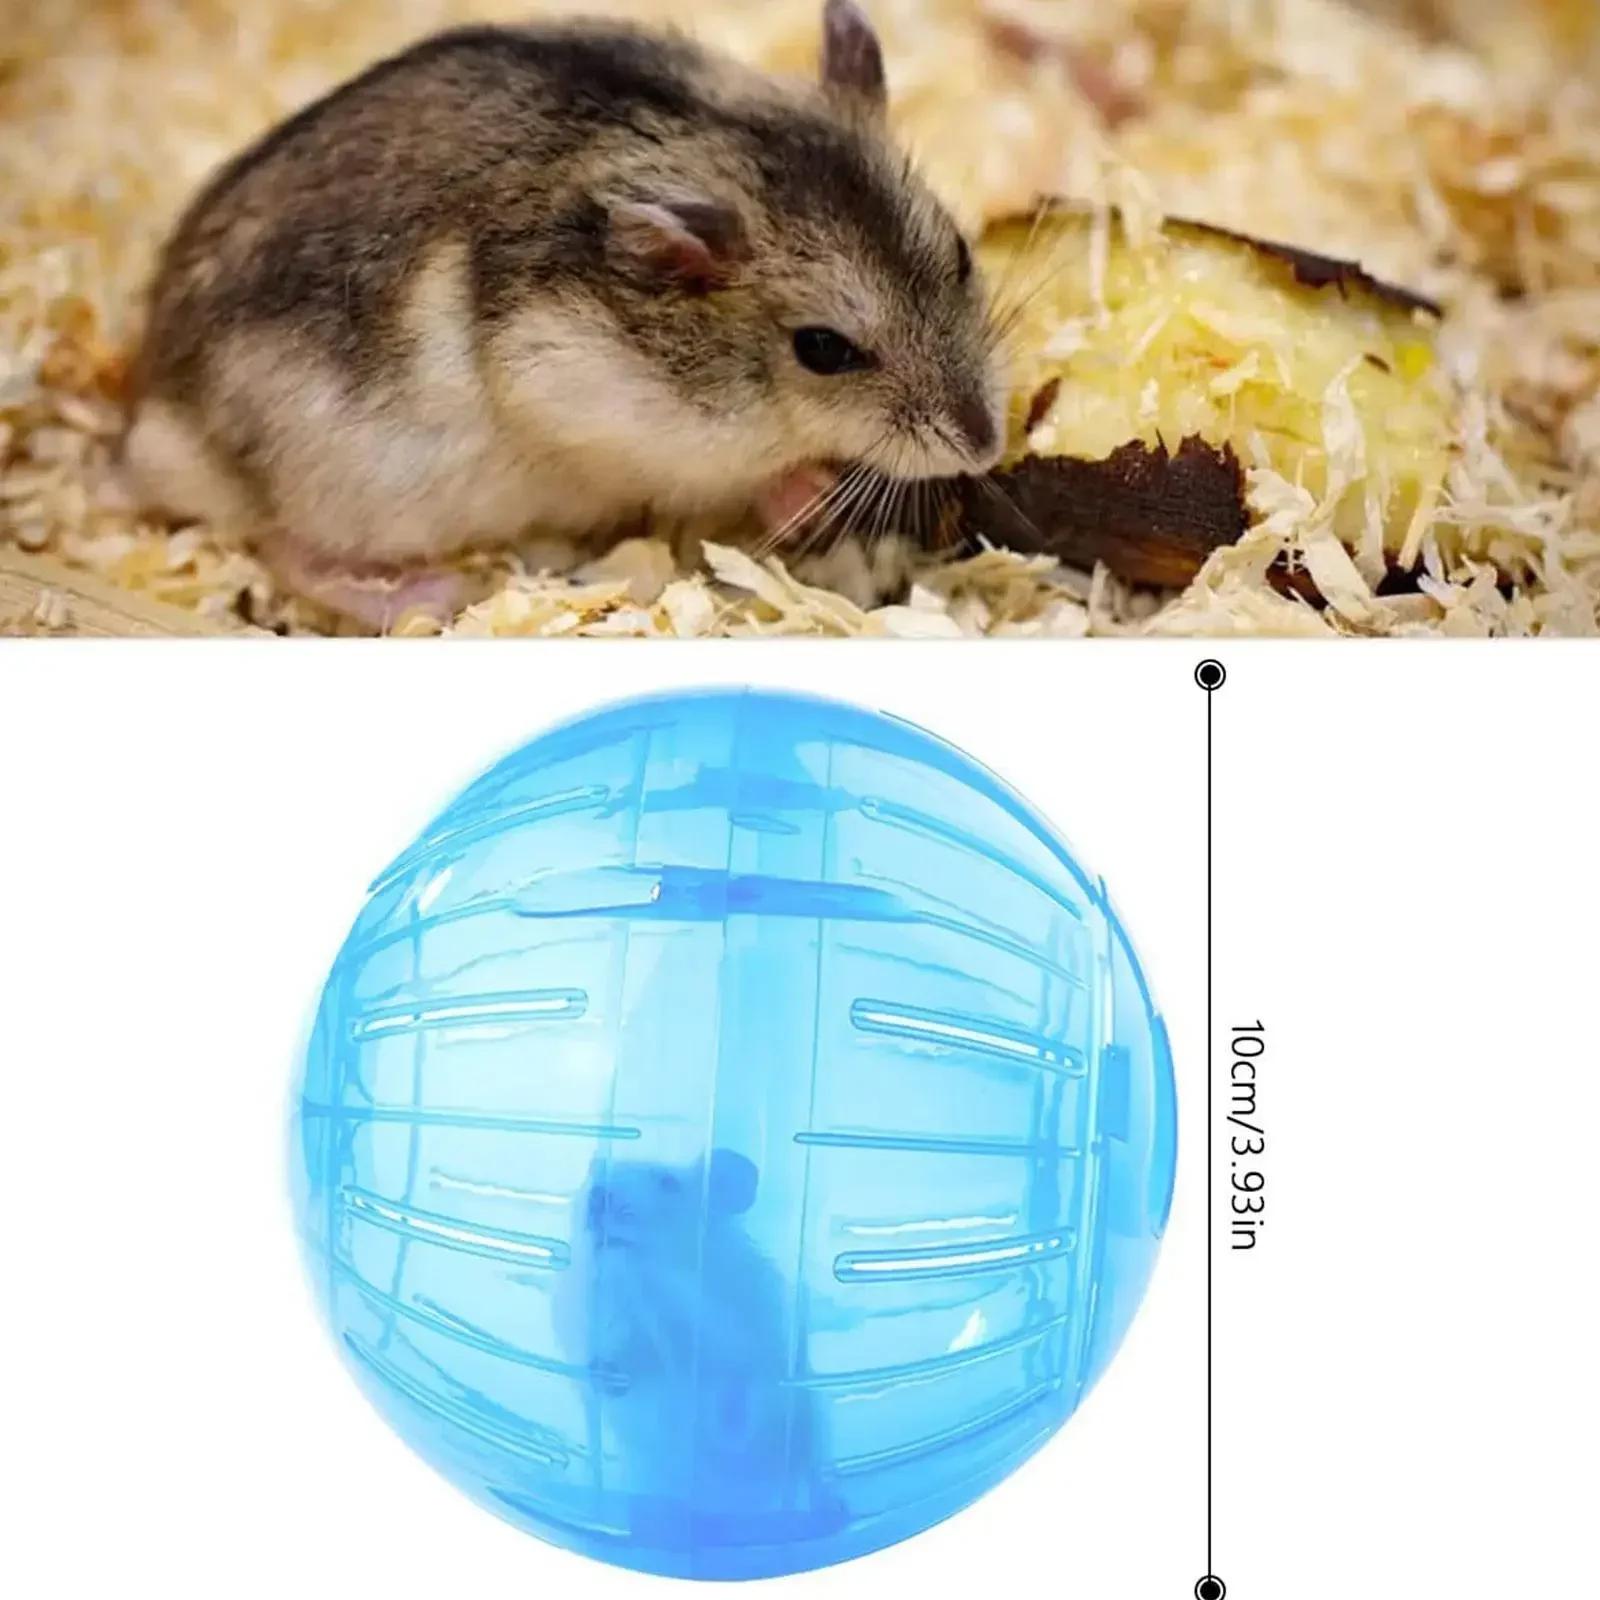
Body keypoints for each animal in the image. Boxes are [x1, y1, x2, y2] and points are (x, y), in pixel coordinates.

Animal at [123, 1, 1008, 631]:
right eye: (823, 349)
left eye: (961, 252)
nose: (985, 447)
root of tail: (148, 422)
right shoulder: (606, 415)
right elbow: (747, 474)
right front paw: (809, 488)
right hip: (342, 480)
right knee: (284, 547)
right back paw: (430, 594)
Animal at [553, 1146, 845, 1547]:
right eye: (591, 1173)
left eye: (668, 1182)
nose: (599, 1197)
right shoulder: (594, 1321)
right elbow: (617, 1354)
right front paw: (608, 1374)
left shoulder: (742, 1326)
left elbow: (729, 1360)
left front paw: (732, 1419)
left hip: (816, 1428)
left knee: (812, 1474)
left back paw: (831, 1513)